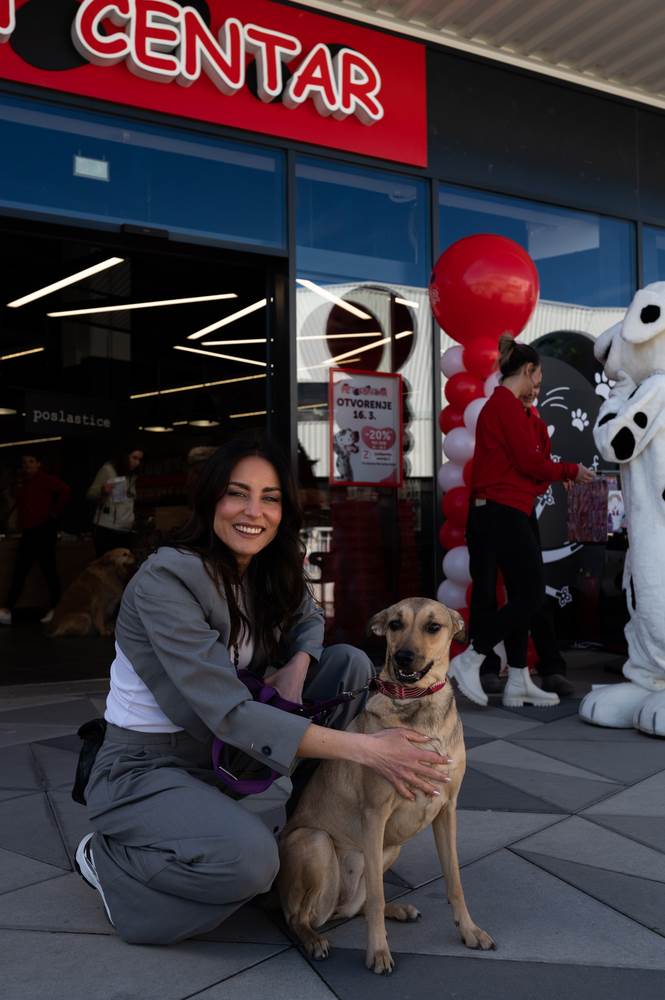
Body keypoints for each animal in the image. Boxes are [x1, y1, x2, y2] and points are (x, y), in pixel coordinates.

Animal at [278, 596, 496, 972]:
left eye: (433, 626)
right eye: (395, 624)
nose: (403, 657)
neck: (418, 703)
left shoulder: (447, 810)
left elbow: (454, 880)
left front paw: (469, 930)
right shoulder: (375, 814)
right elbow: (378, 897)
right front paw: (378, 951)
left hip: (390, 848)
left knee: (358, 906)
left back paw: (399, 910)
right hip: (316, 841)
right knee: (300, 916)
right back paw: (314, 939)